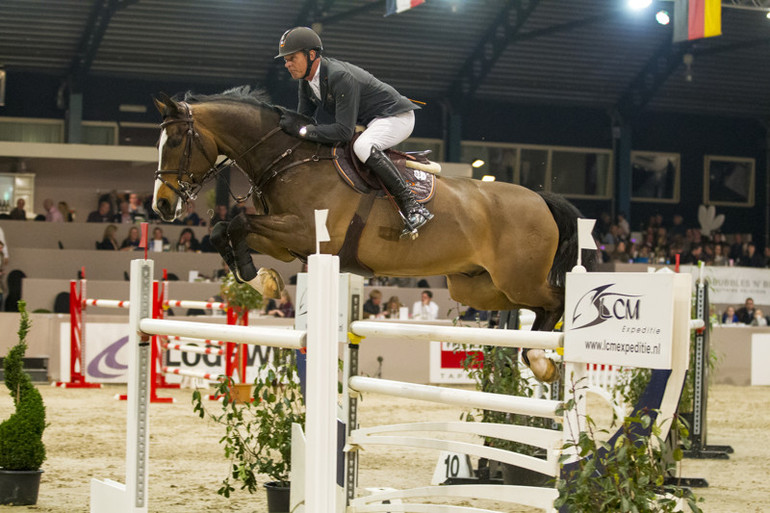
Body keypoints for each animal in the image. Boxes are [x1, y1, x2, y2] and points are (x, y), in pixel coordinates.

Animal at [152, 86, 588, 380]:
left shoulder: (304, 233)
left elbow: (238, 223)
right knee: (531, 309)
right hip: (480, 287)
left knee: (557, 299)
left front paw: (258, 278)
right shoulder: (286, 243)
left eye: (175, 141)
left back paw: (542, 360)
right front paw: (263, 280)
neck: (290, 158)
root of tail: (542, 199)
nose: (162, 205)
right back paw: (535, 357)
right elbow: (224, 229)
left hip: (519, 279)